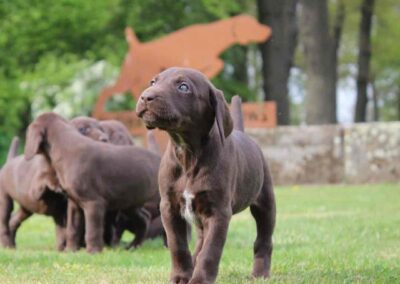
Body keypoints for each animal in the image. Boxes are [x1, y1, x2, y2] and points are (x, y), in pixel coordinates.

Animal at [23, 113, 159, 253]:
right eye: (83, 129)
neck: (65, 147)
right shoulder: (74, 203)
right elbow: (73, 229)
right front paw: (70, 250)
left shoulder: (94, 203)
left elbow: (92, 230)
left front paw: (93, 251)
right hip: (130, 202)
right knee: (145, 218)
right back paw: (133, 246)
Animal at [136, 67, 276, 282]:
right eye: (153, 82)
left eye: (183, 87)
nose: (145, 96)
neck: (188, 153)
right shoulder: (169, 207)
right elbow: (178, 246)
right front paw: (181, 277)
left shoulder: (218, 211)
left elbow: (211, 251)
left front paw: (200, 279)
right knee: (200, 242)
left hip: (266, 202)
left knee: (263, 239)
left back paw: (260, 273)